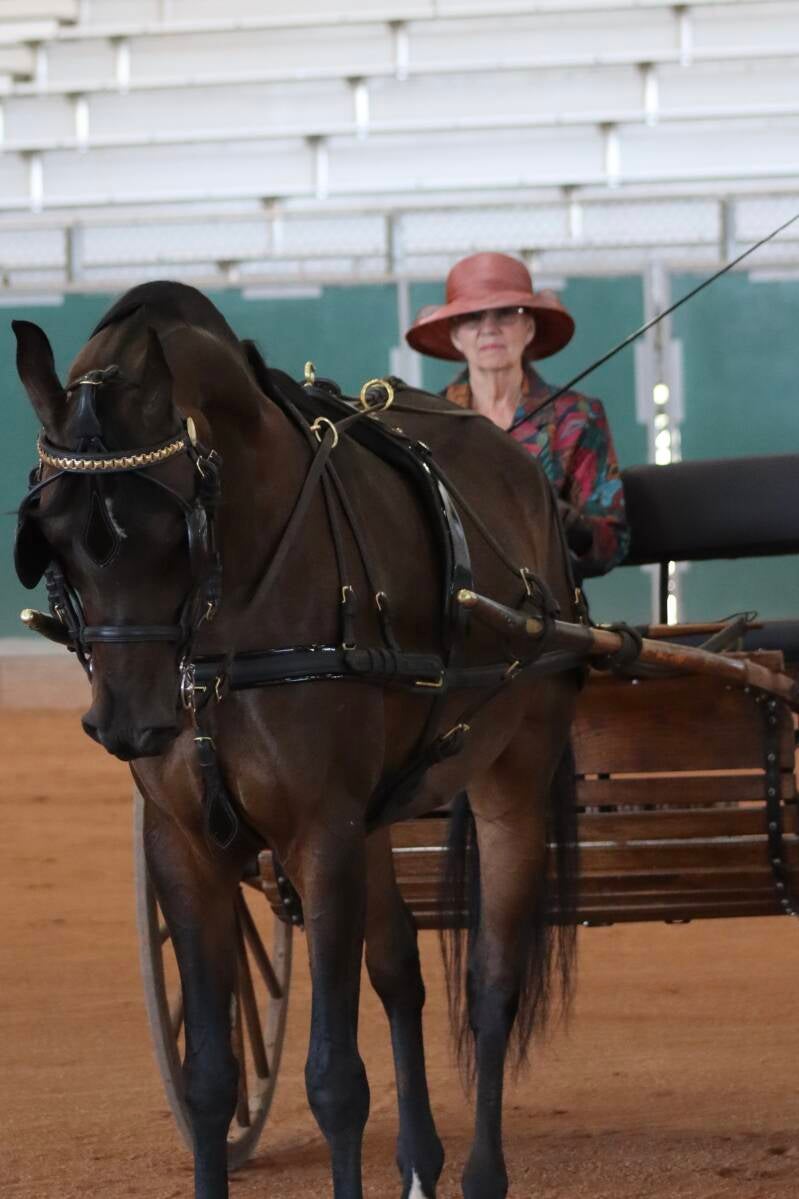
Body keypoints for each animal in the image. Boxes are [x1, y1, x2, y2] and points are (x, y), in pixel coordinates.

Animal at [13, 280, 581, 1199]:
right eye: (51, 533)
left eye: (173, 529)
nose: (129, 720)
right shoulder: (185, 843)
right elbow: (210, 1078)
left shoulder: (322, 832)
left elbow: (334, 1078)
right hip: (378, 814)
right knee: (399, 973)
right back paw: (419, 1162)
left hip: (514, 773)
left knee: (492, 984)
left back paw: (479, 1172)